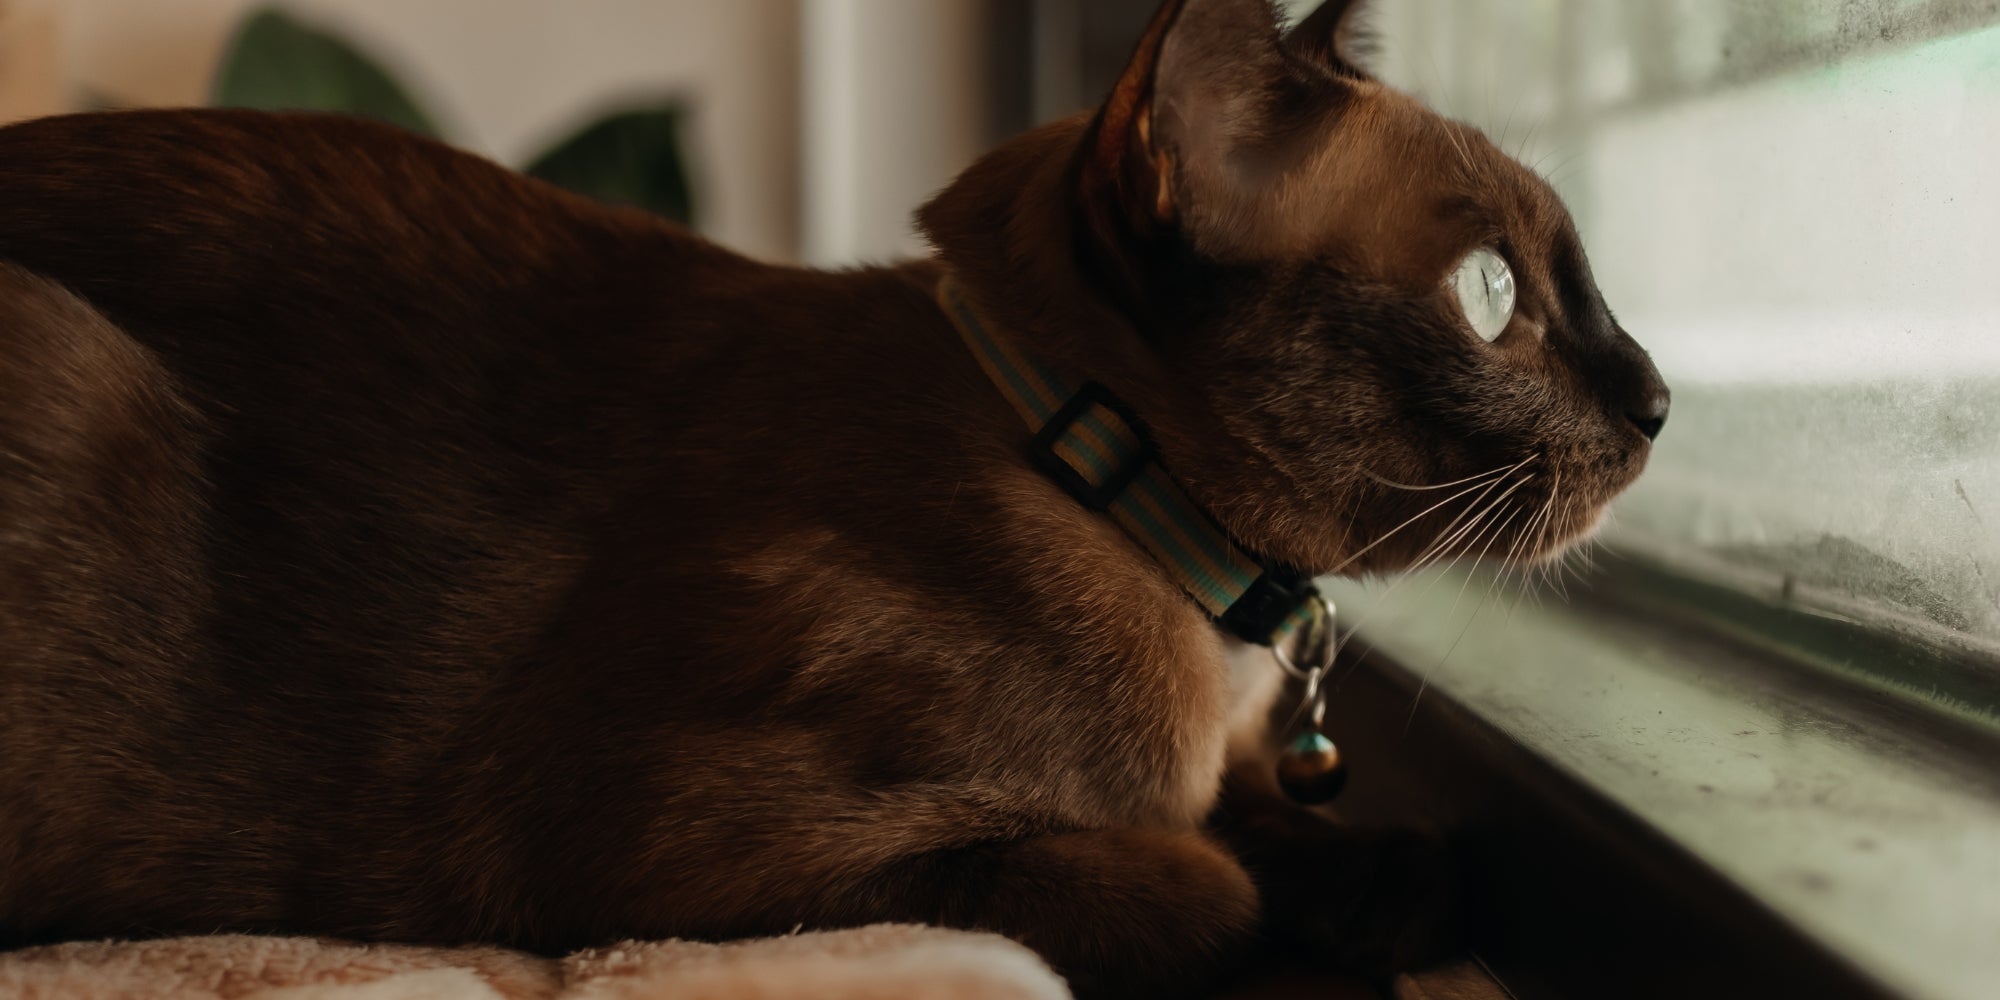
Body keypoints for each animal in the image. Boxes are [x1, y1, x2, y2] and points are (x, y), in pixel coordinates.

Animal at [0, 1, 1664, 1000]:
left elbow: (1342, 839)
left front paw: (1383, 886)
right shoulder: (703, 856)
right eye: (1496, 297)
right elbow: (1200, 882)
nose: (1656, 403)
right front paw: (1298, 919)